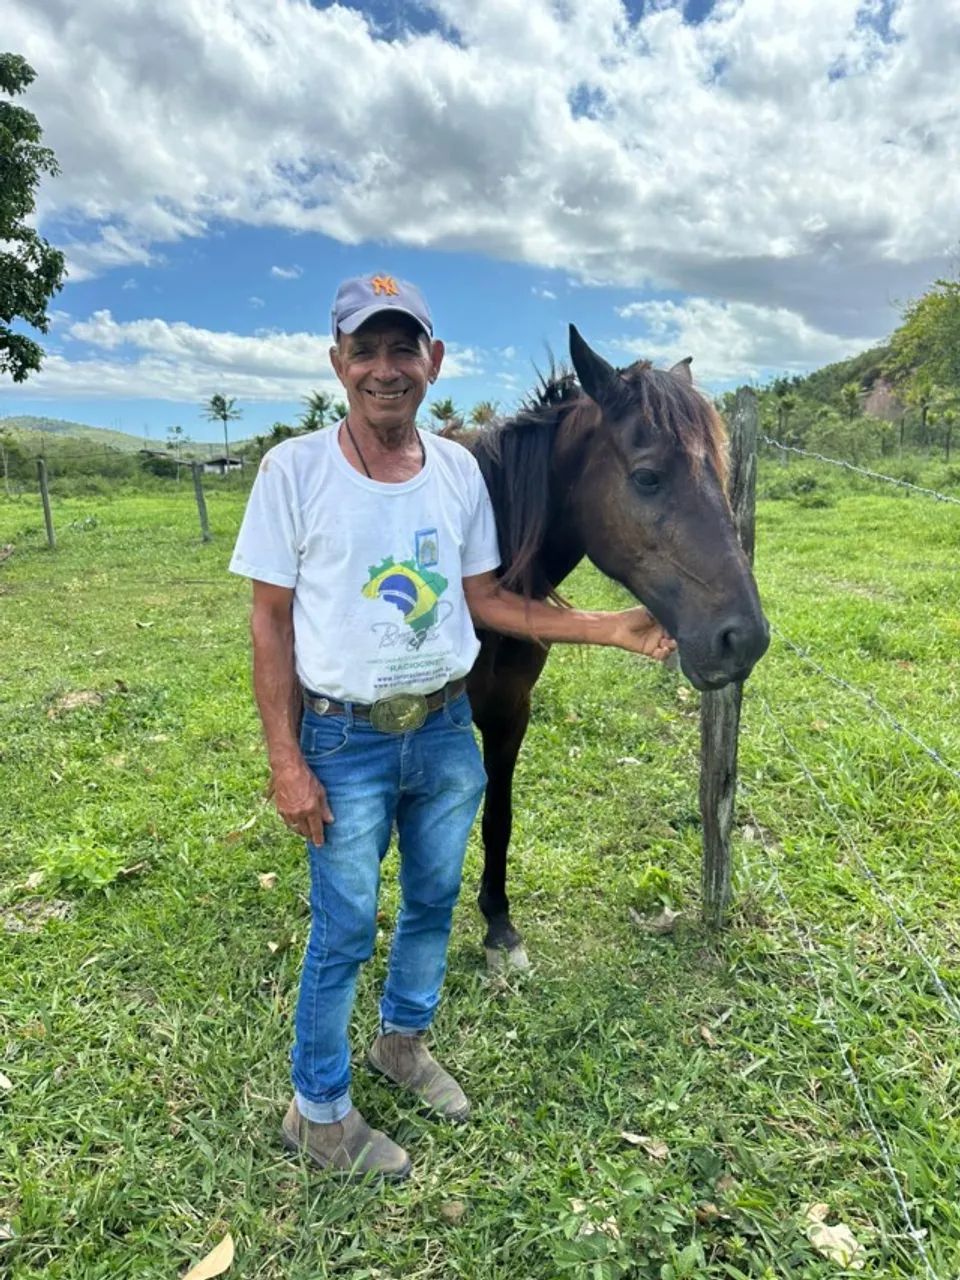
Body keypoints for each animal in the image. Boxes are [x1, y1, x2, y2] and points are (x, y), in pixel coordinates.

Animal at [457, 326, 769, 969]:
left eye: (720, 472)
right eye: (648, 477)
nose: (745, 640)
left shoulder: (509, 712)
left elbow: (497, 814)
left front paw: (499, 925)